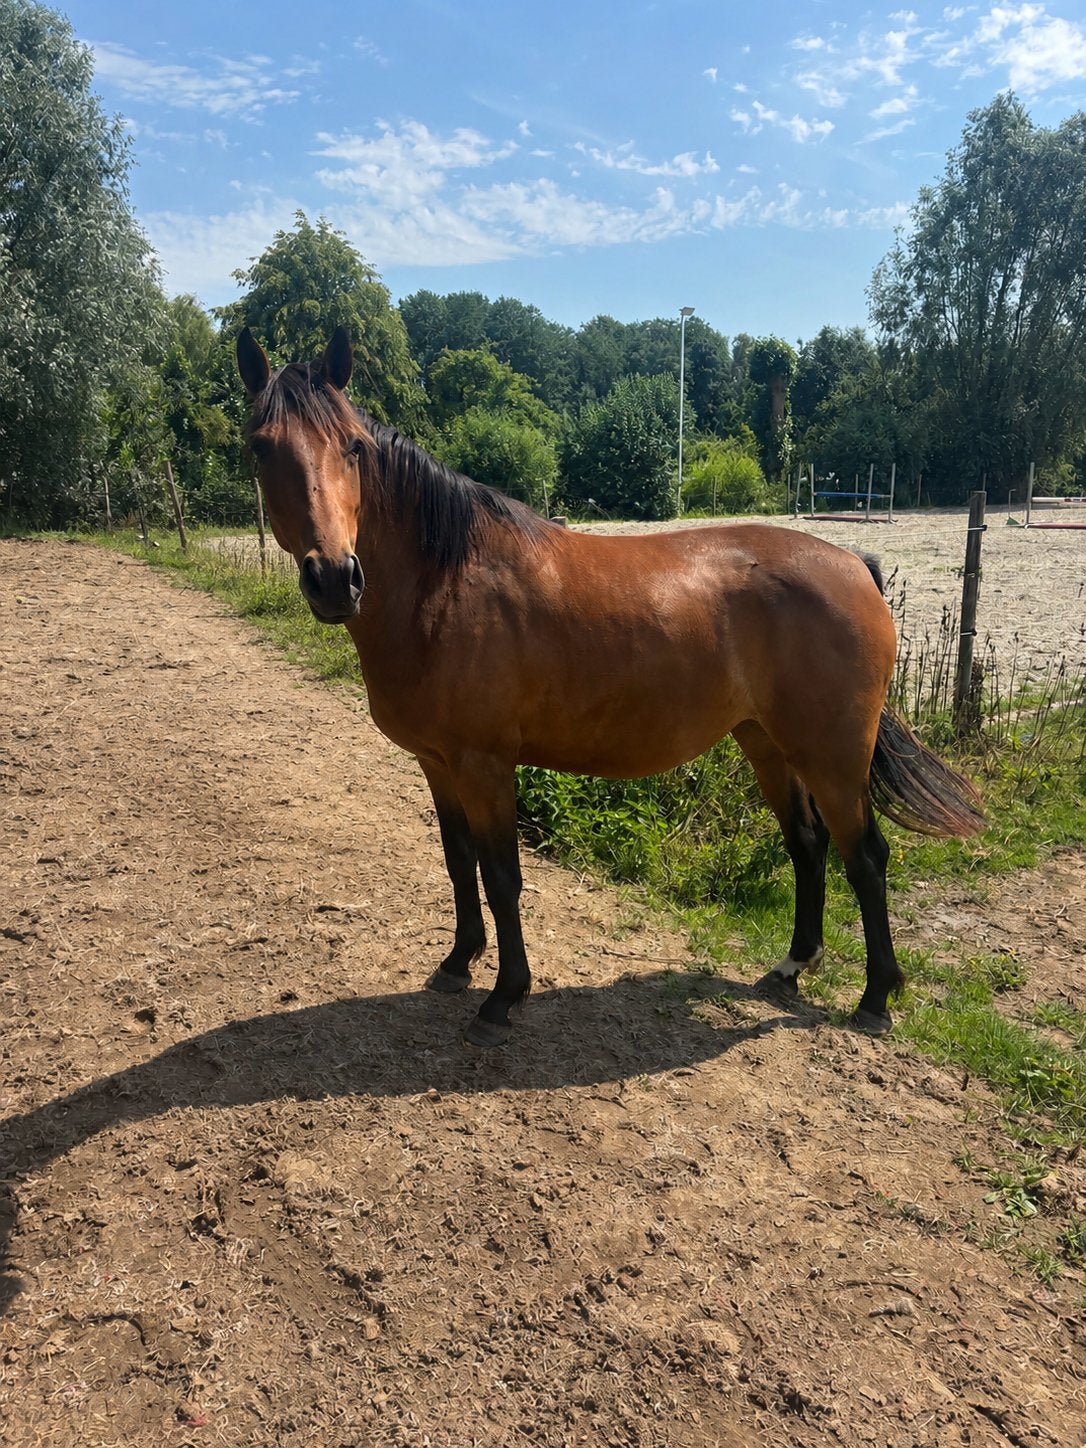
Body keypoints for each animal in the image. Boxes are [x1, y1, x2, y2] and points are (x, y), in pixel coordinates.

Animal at [236, 326, 984, 1049]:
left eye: (355, 448)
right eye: (260, 447)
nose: (336, 577)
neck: (445, 584)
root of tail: (854, 565)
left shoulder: (484, 764)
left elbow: (502, 876)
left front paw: (504, 997)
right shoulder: (437, 764)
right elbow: (458, 863)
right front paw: (457, 963)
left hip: (831, 753)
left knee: (865, 857)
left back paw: (876, 999)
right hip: (767, 742)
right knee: (807, 843)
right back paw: (790, 968)